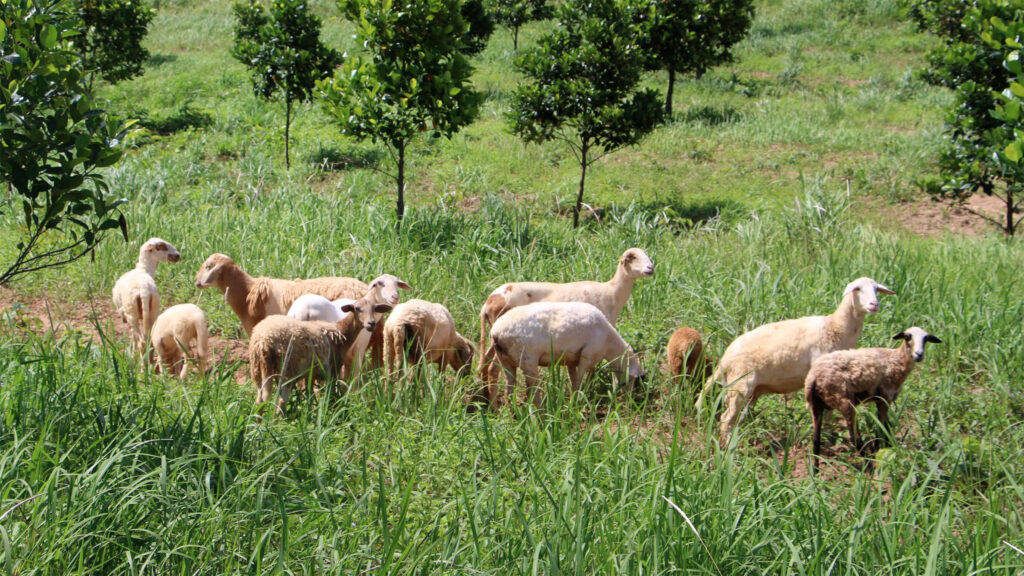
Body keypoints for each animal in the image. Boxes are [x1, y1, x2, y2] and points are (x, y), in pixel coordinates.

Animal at [248, 297, 393, 415]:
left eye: (374, 309)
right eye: (357, 309)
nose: (371, 324)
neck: (341, 332)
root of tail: (264, 340)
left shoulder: (311, 373)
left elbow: (309, 394)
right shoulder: (332, 370)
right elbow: (331, 395)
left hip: (258, 369)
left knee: (259, 400)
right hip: (287, 370)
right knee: (280, 402)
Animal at [477, 247, 654, 382]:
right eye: (633, 257)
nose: (651, 269)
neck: (612, 292)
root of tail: (488, 302)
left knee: (485, 363)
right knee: (493, 368)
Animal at [481, 302, 646, 410]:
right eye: (634, 380)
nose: (630, 401)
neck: (610, 345)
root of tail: (496, 332)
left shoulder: (572, 360)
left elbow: (575, 378)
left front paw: (577, 397)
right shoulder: (587, 355)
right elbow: (580, 379)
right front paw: (576, 400)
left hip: (505, 360)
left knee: (509, 389)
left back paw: (513, 414)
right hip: (527, 359)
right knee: (533, 391)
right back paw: (541, 415)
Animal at [694, 277, 896, 442]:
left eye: (877, 289)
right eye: (858, 289)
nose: (874, 304)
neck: (835, 327)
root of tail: (725, 357)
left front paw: (829, 434)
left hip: (748, 389)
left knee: (736, 416)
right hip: (740, 385)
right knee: (725, 419)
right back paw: (729, 448)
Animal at [804, 326, 941, 465]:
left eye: (926, 339)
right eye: (908, 337)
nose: (919, 355)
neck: (897, 360)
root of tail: (814, 377)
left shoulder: (880, 400)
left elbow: (886, 426)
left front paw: (887, 447)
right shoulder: (885, 397)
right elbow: (881, 427)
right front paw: (880, 450)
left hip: (816, 404)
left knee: (816, 440)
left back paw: (815, 470)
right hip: (844, 401)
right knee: (854, 437)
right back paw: (868, 464)